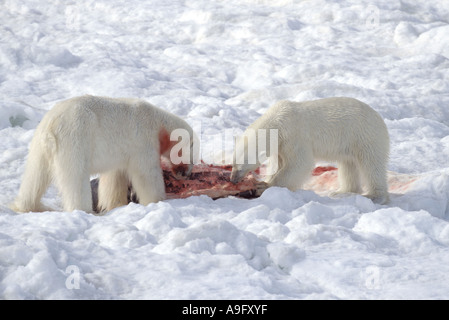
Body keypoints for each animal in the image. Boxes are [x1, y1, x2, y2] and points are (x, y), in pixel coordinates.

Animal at [10, 95, 195, 215]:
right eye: (192, 154)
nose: (186, 174)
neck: (158, 123)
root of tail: (51, 127)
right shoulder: (143, 140)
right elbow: (146, 175)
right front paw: (157, 200)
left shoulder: (122, 152)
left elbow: (115, 176)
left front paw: (115, 204)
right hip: (76, 139)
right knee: (76, 178)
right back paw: (84, 210)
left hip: (39, 146)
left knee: (35, 176)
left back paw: (29, 206)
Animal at [231, 96, 388, 204]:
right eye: (232, 163)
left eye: (241, 166)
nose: (232, 180)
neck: (278, 121)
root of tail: (380, 119)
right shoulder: (281, 145)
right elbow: (278, 164)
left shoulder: (294, 137)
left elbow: (300, 163)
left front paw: (263, 186)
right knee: (348, 165)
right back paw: (342, 192)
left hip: (365, 136)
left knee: (372, 164)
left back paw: (375, 196)